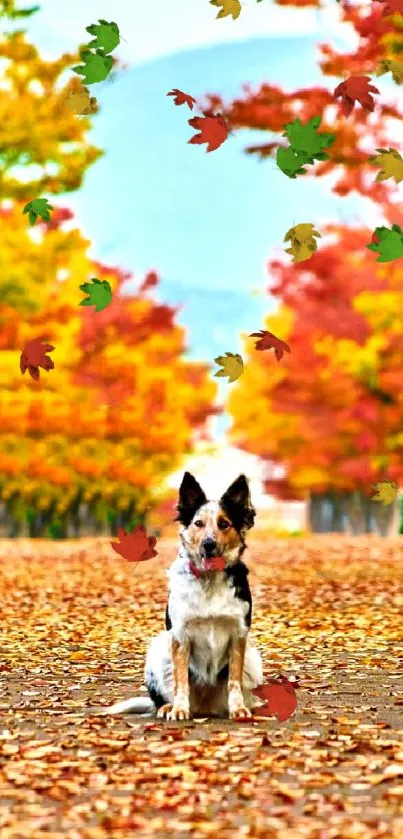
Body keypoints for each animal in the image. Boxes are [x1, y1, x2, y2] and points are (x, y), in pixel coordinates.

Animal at [103, 472, 266, 720]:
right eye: (198, 523)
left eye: (223, 524)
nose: (209, 544)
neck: (209, 579)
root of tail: (206, 708)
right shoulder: (180, 635)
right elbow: (181, 682)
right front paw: (179, 709)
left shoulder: (238, 635)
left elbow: (234, 681)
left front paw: (238, 708)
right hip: (159, 648)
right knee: (165, 694)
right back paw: (167, 707)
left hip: (252, 658)